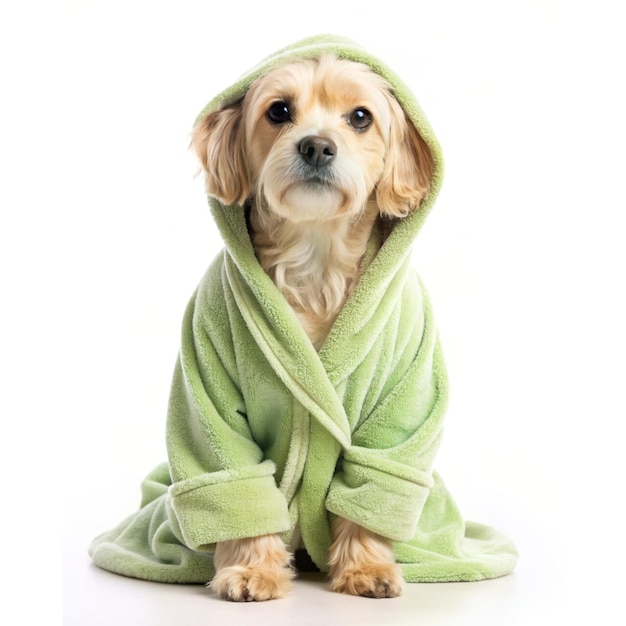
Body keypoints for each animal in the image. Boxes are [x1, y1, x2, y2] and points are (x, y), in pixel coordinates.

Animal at [190, 54, 434, 600]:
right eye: (279, 111)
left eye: (361, 117)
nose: (317, 145)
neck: (315, 261)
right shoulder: (209, 381)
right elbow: (238, 483)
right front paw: (251, 569)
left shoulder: (401, 405)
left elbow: (374, 482)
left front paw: (366, 568)